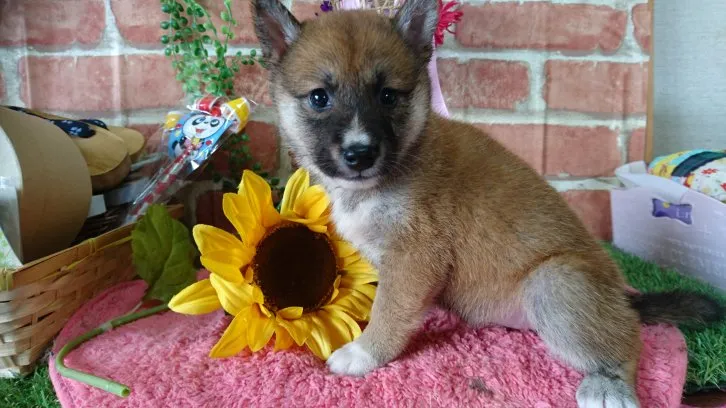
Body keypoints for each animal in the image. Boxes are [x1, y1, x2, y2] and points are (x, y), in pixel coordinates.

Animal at [252, 1, 726, 406]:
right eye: (319, 98)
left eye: (388, 96)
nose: (359, 153)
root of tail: (621, 300)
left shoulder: (415, 257)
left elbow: (389, 310)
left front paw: (364, 352)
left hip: (554, 283)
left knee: (629, 339)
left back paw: (610, 385)